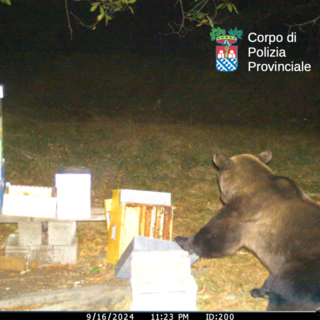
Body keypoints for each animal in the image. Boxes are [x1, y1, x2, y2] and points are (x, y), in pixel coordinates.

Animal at [175, 151, 320, 312]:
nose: (221, 197)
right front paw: (259, 290)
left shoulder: (240, 216)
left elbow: (216, 240)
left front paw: (181, 239)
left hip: (304, 269)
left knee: (287, 292)